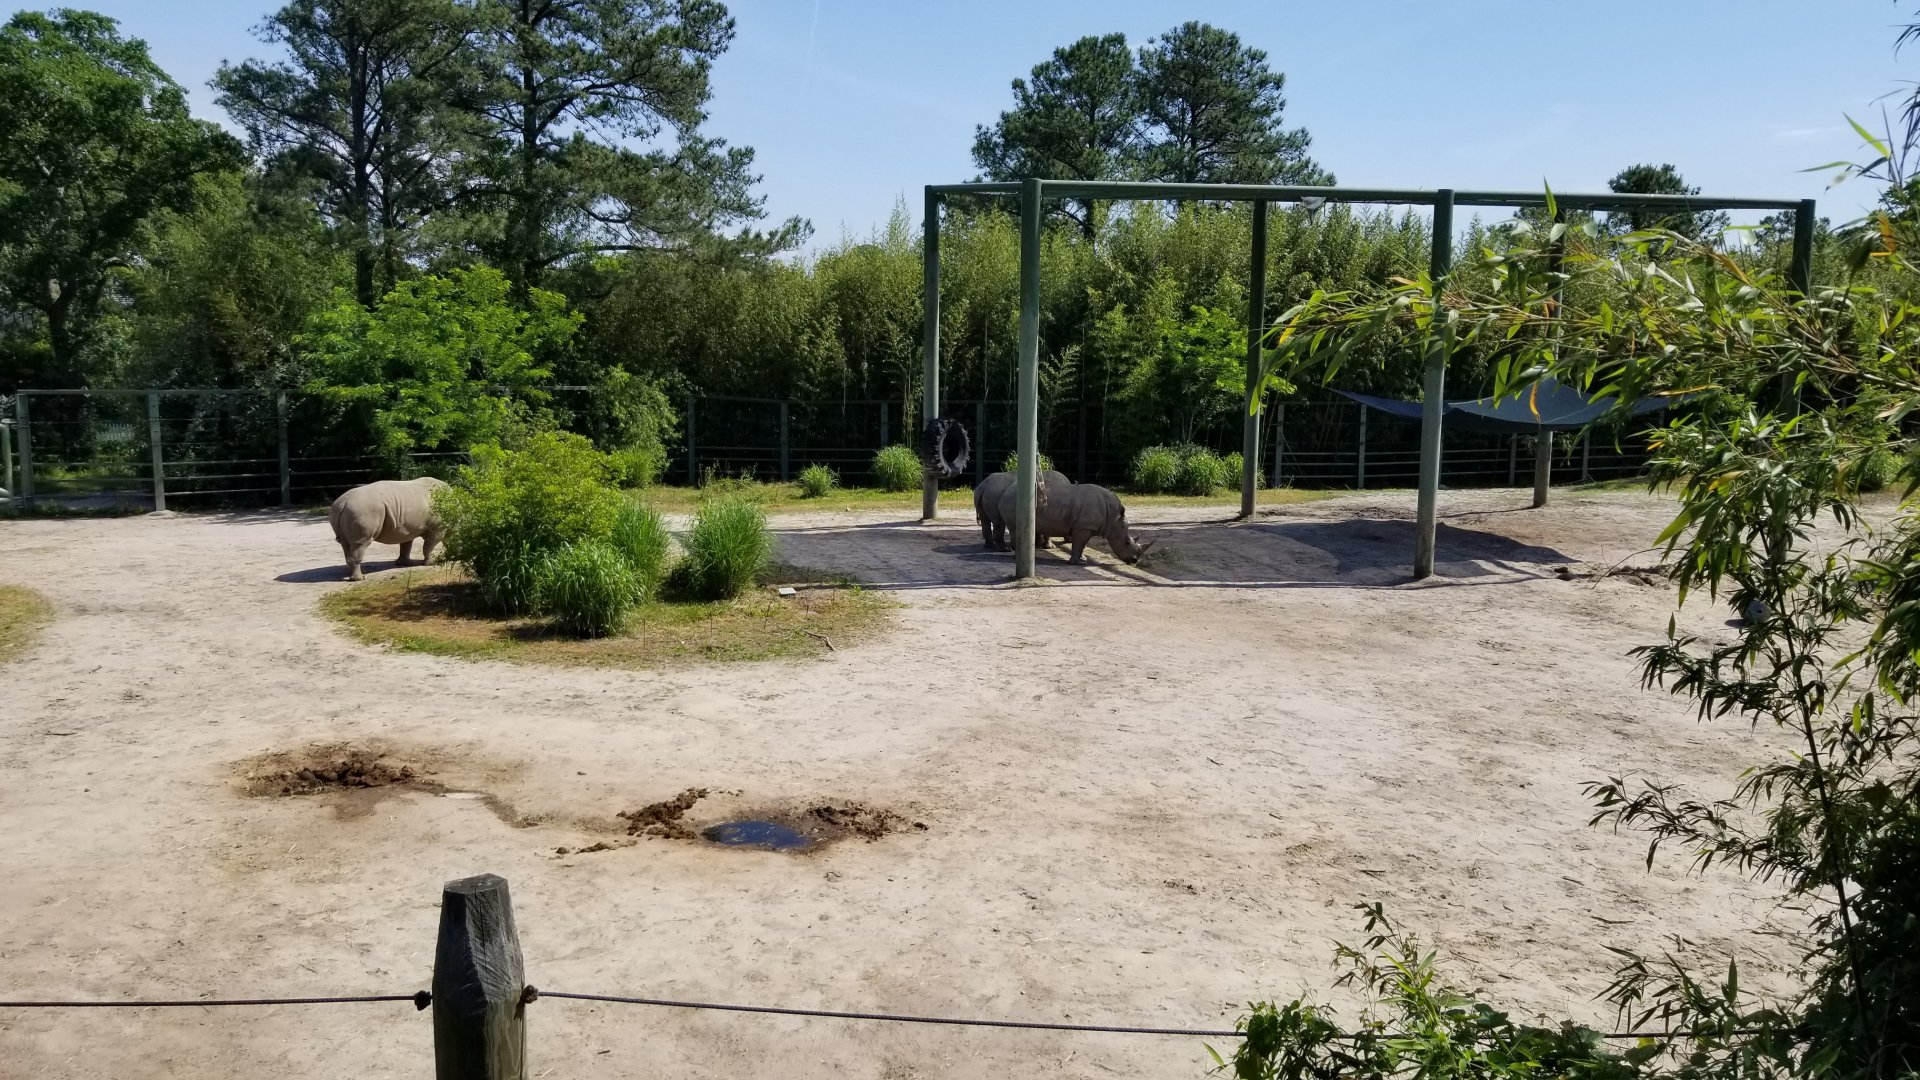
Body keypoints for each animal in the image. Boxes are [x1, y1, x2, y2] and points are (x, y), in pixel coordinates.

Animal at [997, 480, 1152, 564]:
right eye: (1126, 542)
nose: (1134, 561)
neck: (1113, 517)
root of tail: (1006, 490)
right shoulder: (1083, 527)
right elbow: (1079, 544)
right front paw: (1077, 563)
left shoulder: (1087, 527)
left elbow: (1082, 545)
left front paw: (1083, 560)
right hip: (1012, 500)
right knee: (1015, 529)